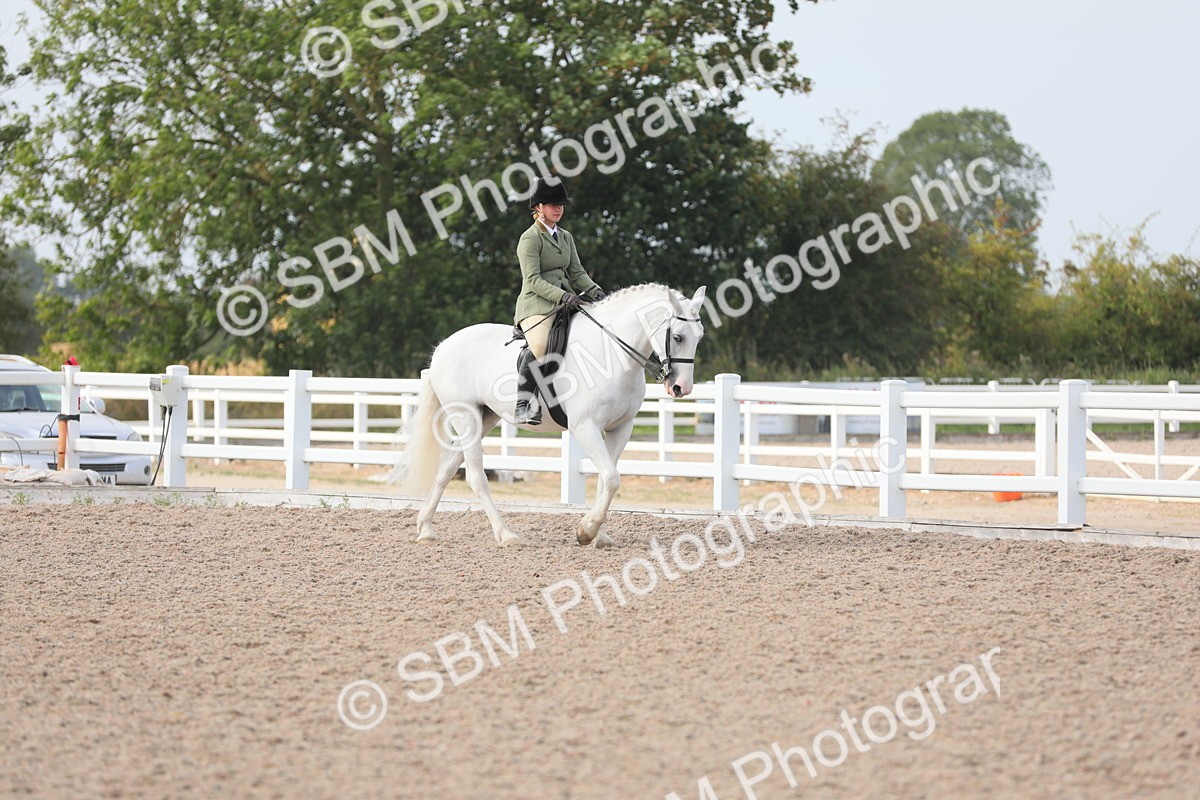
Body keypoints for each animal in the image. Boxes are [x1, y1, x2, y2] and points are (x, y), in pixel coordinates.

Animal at [397, 283, 707, 548]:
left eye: (699, 337)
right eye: (677, 337)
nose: (681, 387)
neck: (612, 354)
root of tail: (442, 347)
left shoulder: (620, 428)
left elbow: (606, 480)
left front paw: (600, 536)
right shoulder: (584, 426)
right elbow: (611, 477)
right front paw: (586, 531)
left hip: (484, 418)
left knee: (447, 467)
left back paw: (425, 528)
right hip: (466, 415)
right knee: (475, 476)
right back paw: (506, 535)